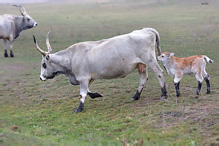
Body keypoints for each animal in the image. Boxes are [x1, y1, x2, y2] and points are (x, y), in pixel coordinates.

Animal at [33, 28, 168, 113]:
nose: (41, 77)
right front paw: (96, 95)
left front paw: (79, 108)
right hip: (141, 64)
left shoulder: (83, 78)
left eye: (44, 64)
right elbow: (88, 91)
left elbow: (82, 93)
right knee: (143, 79)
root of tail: (146, 30)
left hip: (150, 60)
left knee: (159, 73)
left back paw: (163, 94)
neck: (71, 56)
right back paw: (136, 96)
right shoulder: (89, 78)